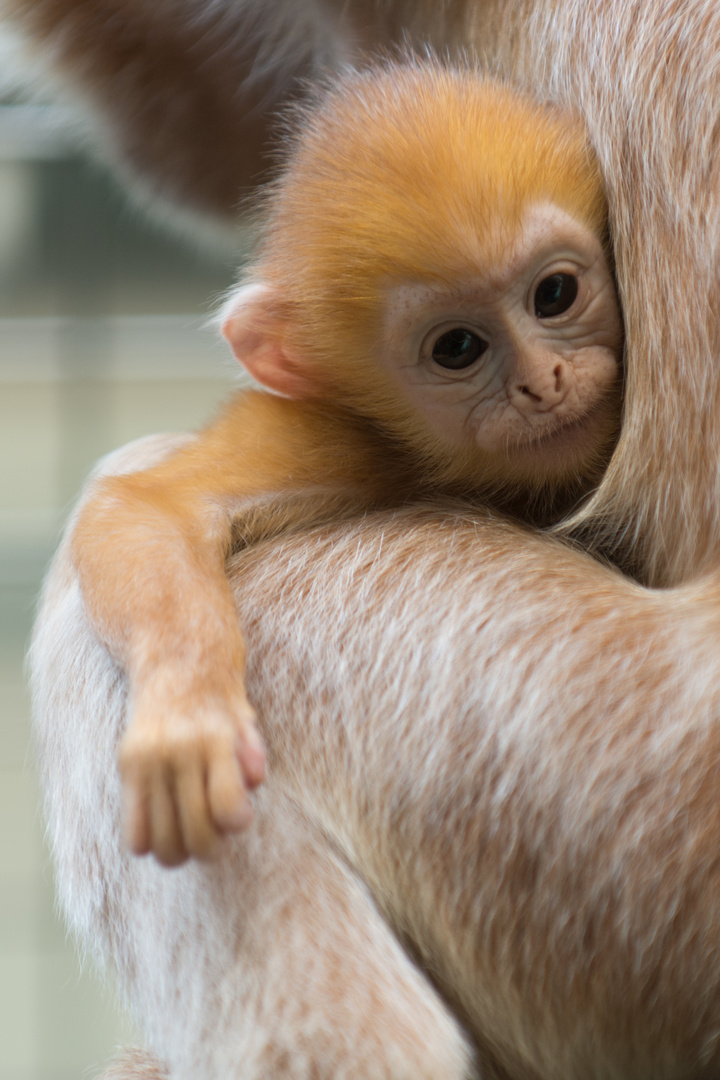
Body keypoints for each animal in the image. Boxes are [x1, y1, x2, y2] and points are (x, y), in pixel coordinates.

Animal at [74, 61, 626, 868]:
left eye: (554, 293)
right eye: (457, 348)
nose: (542, 383)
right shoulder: (340, 435)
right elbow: (147, 507)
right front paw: (187, 710)